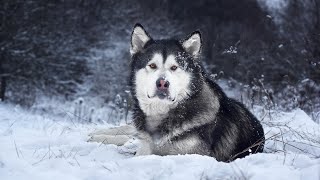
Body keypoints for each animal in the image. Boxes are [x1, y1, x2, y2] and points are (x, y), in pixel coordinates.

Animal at [88, 23, 264, 162]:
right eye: (152, 65)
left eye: (174, 67)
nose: (162, 83)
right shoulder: (147, 145)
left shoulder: (192, 154)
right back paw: (97, 135)